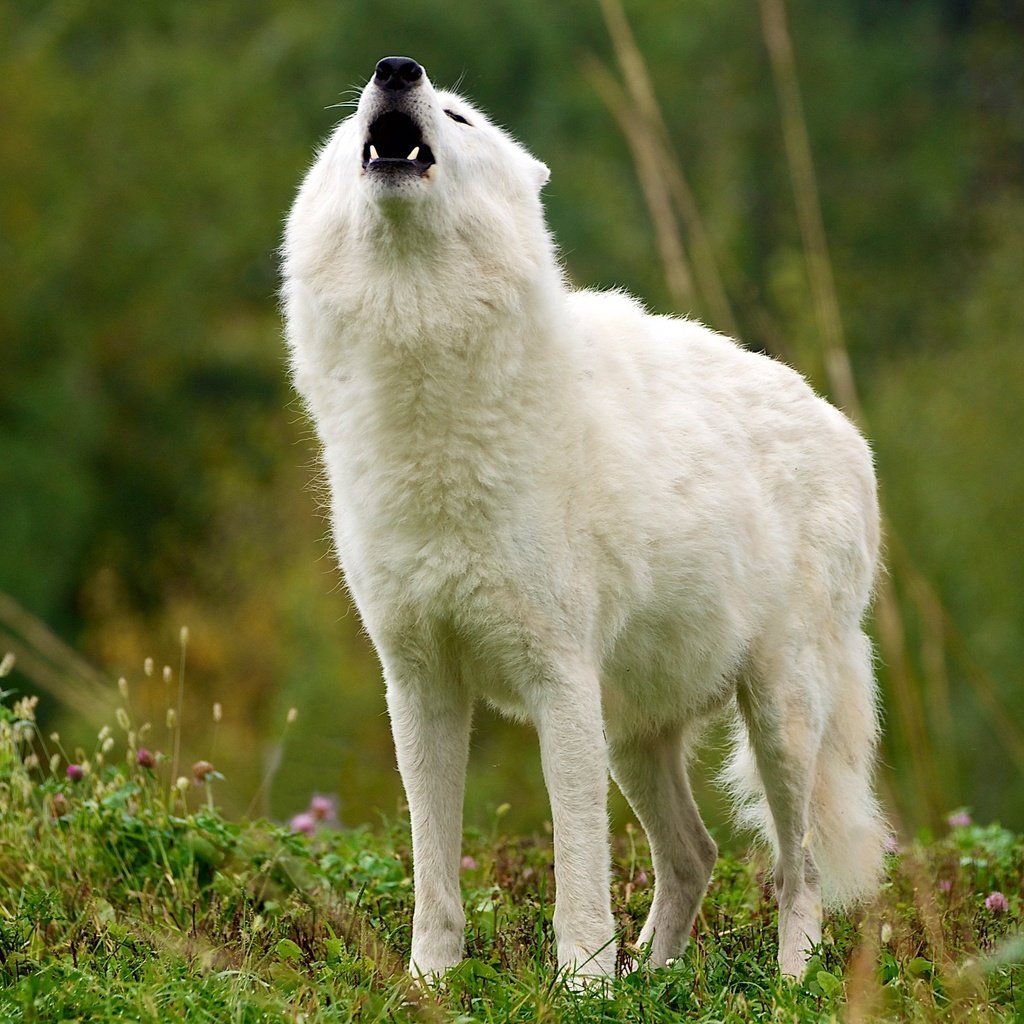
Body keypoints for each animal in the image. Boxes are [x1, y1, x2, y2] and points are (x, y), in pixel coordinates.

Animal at [282, 56, 888, 983]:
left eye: (459, 115)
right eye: (355, 120)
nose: (395, 69)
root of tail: (843, 428)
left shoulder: (558, 680)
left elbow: (576, 869)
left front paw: (582, 986)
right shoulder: (419, 685)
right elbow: (433, 873)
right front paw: (430, 983)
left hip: (777, 719)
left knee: (798, 867)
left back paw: (787, 982)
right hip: (635, 737)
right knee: (697, 856)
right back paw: (658, 979)